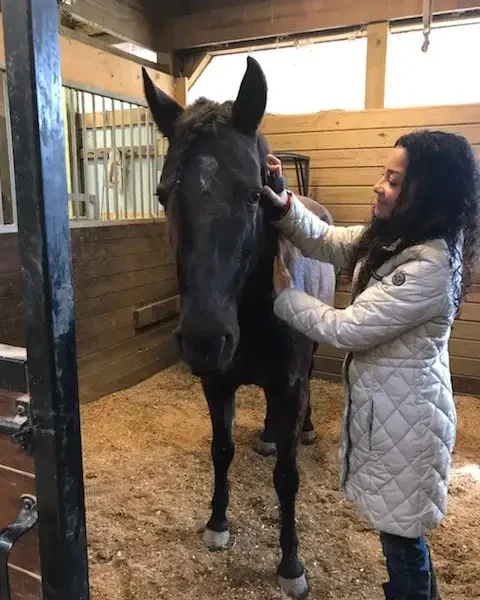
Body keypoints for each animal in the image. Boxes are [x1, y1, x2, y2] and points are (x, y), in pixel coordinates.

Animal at [142, 57, 336, 600]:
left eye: (254, 194)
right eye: (162, 195)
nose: (205, 340)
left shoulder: (289, 385)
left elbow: (287, 478)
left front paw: (291, 564)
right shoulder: (217, 384)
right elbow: (221, 450)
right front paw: (217, 523)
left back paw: (304, 430)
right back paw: (269, 435)